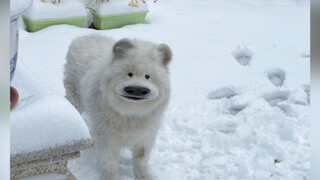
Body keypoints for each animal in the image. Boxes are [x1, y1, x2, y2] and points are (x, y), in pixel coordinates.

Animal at [63, 34, 172, 179]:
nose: (137, 89)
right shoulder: (107, 137)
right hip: (74, 96)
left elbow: (141, 159)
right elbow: (109, 163)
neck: (130, 113)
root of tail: (83, 36)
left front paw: (145, 176)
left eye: (147, 76)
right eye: (129, 74)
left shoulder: (146, 136)